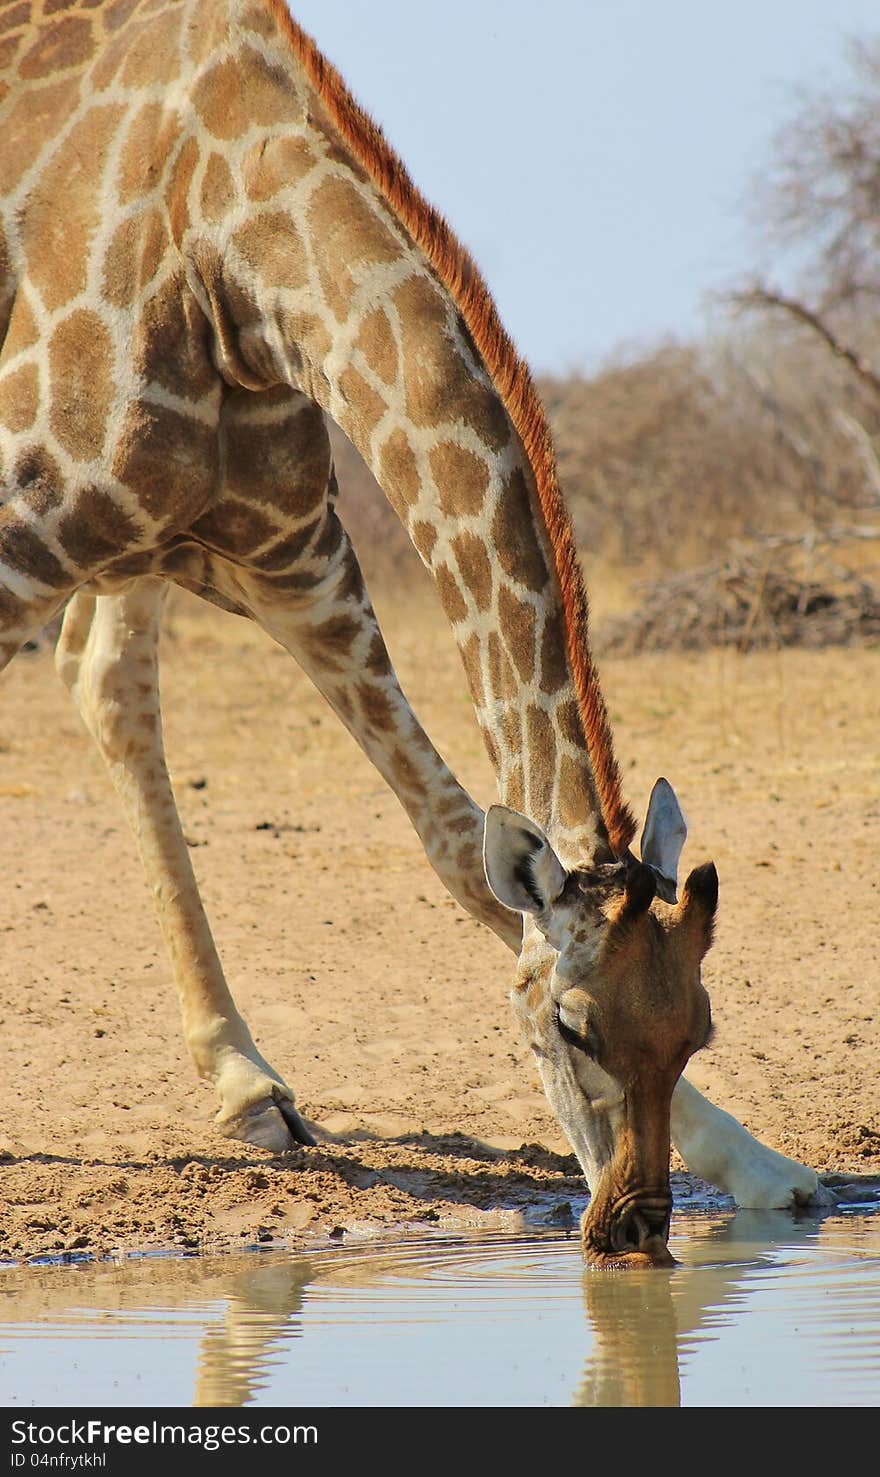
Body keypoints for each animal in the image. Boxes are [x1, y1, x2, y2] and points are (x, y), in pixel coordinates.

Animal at [0, 0, 826, 1270]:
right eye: (571, 1028)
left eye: (700, 1024)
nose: (634, 1230)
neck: (233, 251)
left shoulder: (296, 561)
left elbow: (454, 842)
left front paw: (766, 1170)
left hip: (141, 554)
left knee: (108, 683)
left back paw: (248, 1083)